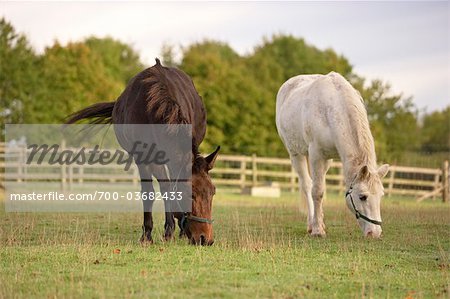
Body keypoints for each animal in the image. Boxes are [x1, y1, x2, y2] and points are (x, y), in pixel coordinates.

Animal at [67, 58, 220, 246]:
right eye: (190, 194)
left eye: (213, 192)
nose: (206, 239)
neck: (154, 111)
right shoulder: (143, 158)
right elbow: (151, 192)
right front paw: (149, 234)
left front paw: (172, 230)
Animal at [276, 72, 388, 239]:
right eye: (362, 197)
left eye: (381, 196)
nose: (374, 233)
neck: (334, 109)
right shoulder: (316, 154)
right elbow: (317, 191)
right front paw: (317, 230)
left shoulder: (327, 158)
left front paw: (320, 224)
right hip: (295, 154)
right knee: (307, 185)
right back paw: (311, 224)